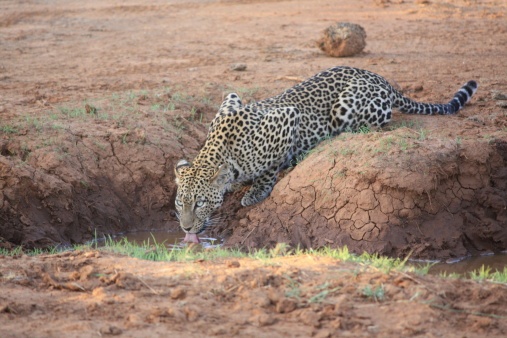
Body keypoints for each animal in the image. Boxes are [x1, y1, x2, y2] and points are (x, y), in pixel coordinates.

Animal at [173, 66, 478, 242]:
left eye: (200, 203)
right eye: (179, 203)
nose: (185, 229)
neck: (220, 151)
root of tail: (383, 80)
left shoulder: (287, 117)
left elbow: (270, 167)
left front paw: (256, 190)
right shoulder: (232, 98)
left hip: (348, 106)